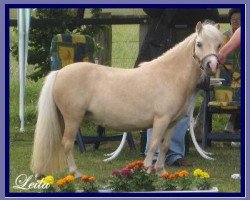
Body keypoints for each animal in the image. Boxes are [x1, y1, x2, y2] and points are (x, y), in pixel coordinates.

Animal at [30, 21, 223, 177]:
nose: (211, 65)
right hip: (73, 118)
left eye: (219, 45)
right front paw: (147, 170)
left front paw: (161, 172)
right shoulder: (161, 120)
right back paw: (76, 173)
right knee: (67, 143)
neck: (170, 76)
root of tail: (59, 72)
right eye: (199, 43)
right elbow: (153, 145)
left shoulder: (172, 123)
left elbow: (165, 146)